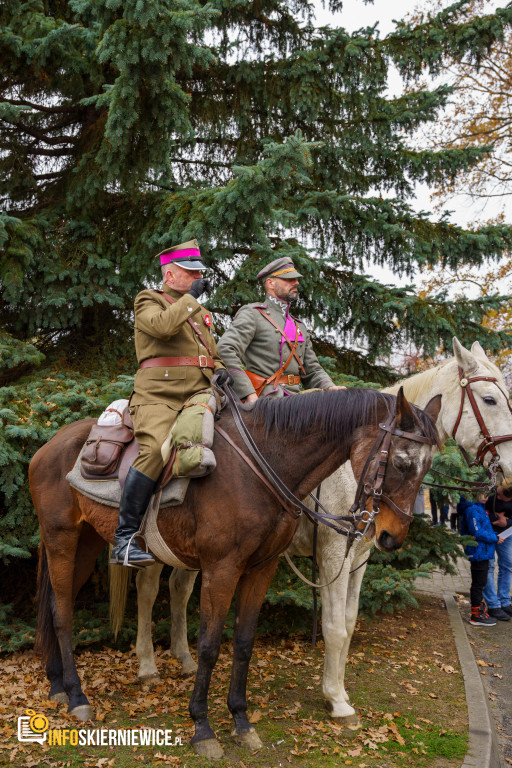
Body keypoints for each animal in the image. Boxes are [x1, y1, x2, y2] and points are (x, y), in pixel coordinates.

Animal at [31, 388, 440, 760]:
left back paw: (59, 684)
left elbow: (245, 641)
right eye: (402, 462)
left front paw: (242, 720)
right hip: (62, 539)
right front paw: (203, 726)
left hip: (87, 545)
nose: (392, 536)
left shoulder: (266, 568)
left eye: (427, 467)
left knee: (65, 604)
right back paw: (79, 693)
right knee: (65, 612)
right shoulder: (228, 567)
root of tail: (48, 446)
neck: (263, 465)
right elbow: (214, 644)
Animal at [126, 338, 512, 728]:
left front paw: (338, 691)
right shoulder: (332, 555)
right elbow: (334, 627)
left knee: (179, 588)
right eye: (489, 399)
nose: (509, 467)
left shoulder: (359, 558)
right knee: (147, 590)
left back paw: (184, 659)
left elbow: (350, 623)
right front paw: (336, 700)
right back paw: (147, 666)